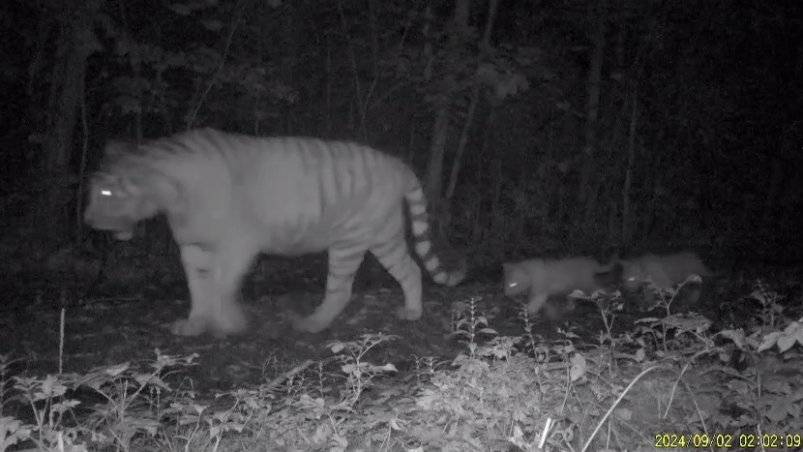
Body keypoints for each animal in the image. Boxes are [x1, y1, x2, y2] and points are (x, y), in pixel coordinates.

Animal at [85, 127, 464, 336]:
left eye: (104, 192)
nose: (87, 220)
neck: (169, 194)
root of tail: (400, 165)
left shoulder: (237, 245)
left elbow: (220, 286)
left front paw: (228, 323)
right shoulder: (193, 246)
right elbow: (198, 287)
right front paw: (195, 325)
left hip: (353, 239)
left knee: (343, 289)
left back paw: (313, 324)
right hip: (383, 236)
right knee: (410, 269)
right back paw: (411, 312)